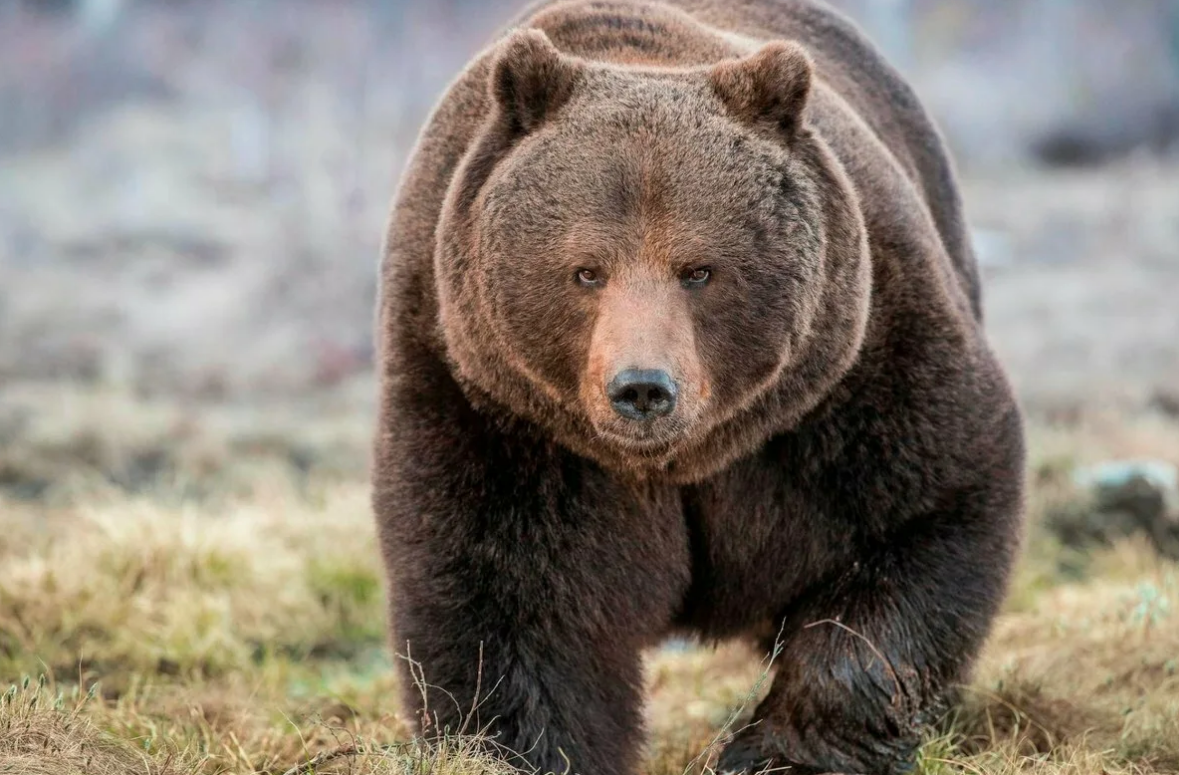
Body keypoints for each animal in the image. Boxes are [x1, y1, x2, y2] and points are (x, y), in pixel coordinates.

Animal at [370, 1, 1023, 773]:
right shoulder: (488, 397)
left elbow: (922, 510)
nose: (642, 388)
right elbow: (506, 595)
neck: (678, 460)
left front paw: (780, 751)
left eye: (699, 269)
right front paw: (525, 747)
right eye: (586, 270)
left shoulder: (853, 368)